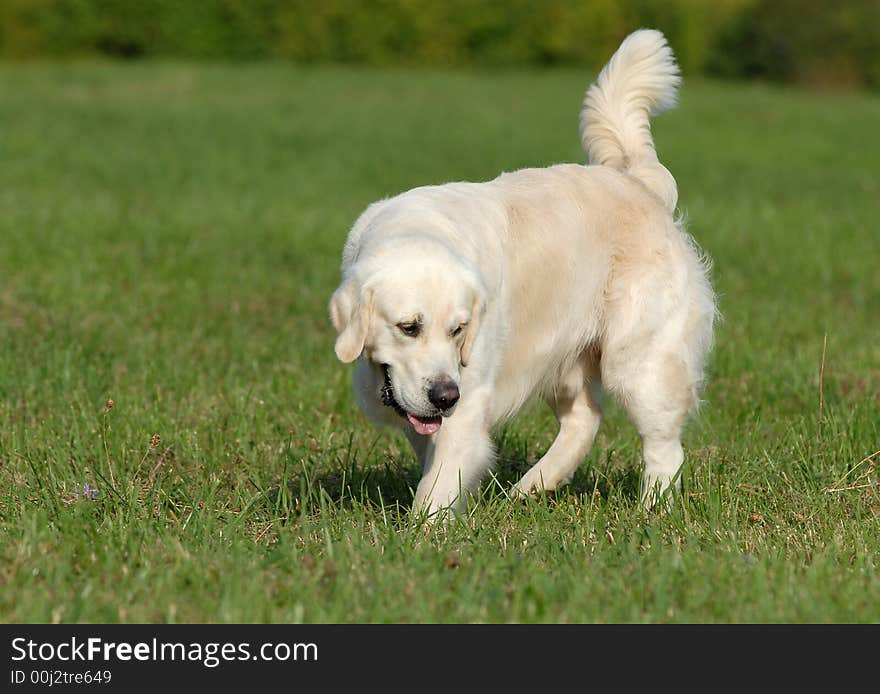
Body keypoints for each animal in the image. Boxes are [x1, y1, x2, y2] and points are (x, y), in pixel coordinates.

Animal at [330, 29, 716, 520]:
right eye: (408, 327)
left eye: (459, 330)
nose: (445, 396)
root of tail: (638, 183)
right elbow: (428, 450)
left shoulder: (469, 398)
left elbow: (438, 482)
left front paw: (421, 532)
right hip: (563, 356)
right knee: (585, 418)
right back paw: (532, 486)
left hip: (639, 360)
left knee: (663, 446)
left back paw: (651, 510)